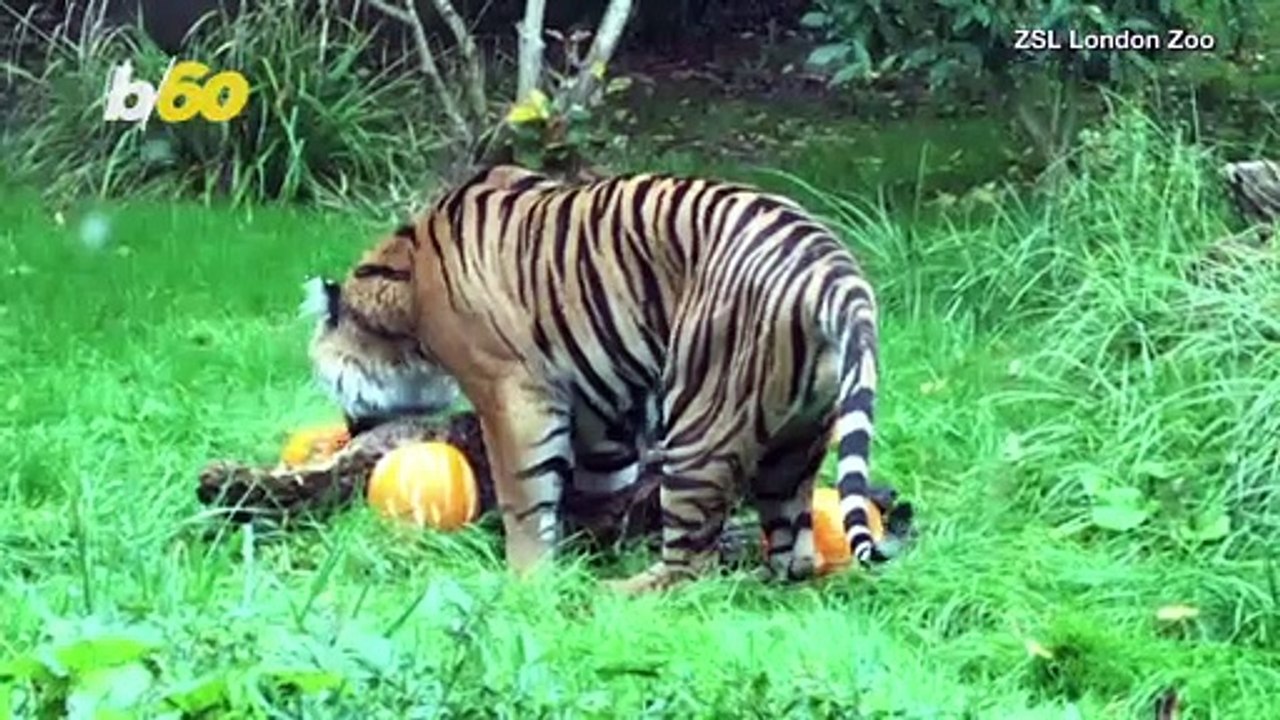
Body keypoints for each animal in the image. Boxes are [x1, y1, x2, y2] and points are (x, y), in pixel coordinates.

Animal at [303, 164, 893, 594]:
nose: (349, 429)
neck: (406, 289)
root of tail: (832, 269)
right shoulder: (603, 404)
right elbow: (598, 482)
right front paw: (586, 547)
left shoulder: (512, 393)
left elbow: (524, 495)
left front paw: (526, 579)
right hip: (799, 438)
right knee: (796, 551)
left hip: (701, 424)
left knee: (690, 564)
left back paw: (614, 595)